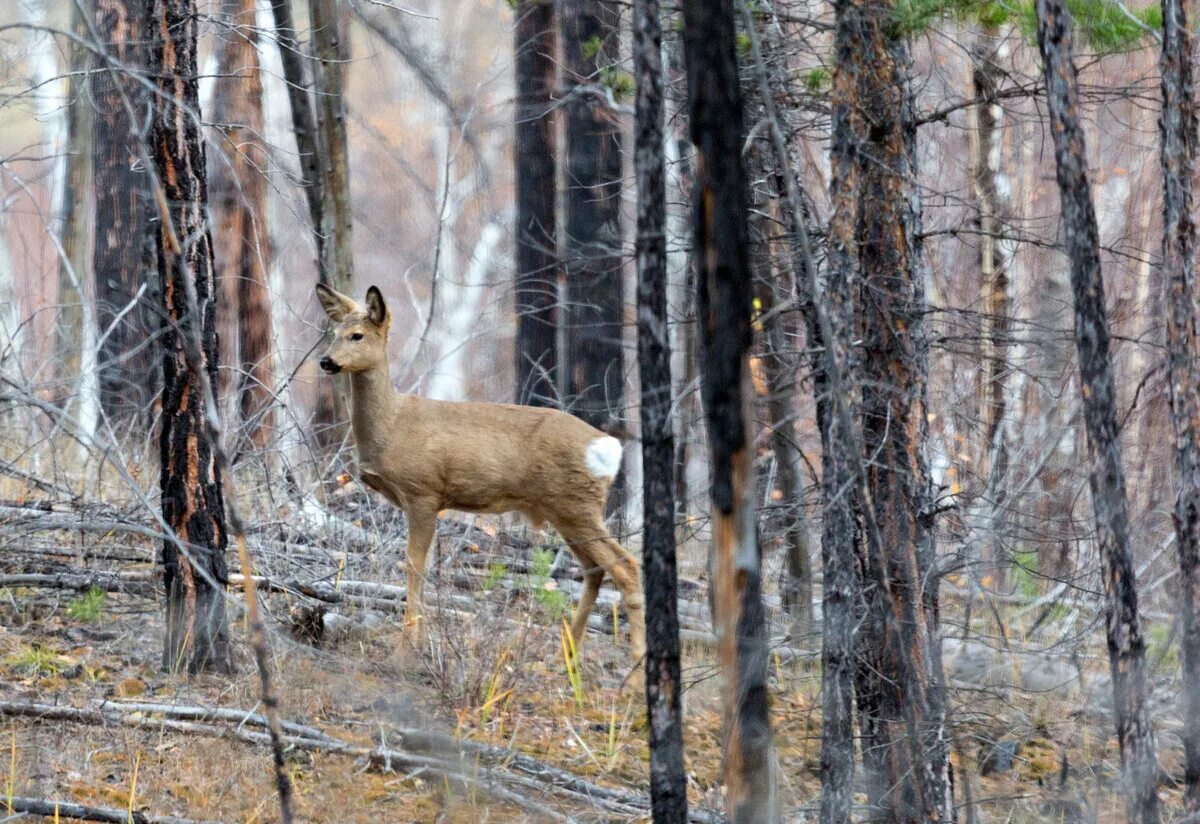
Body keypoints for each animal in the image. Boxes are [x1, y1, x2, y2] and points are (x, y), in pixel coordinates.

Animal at [314, 283, 643, 662]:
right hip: (567, 510)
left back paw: (635, 668)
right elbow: (425, 568)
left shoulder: (423, 491)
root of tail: (608, 447)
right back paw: (565, 656)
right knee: (595, 570)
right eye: (333, 332)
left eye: (357, 334)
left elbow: (413, 565)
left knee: (626, 566)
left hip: (576, 505)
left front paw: (405, 649)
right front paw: (422, 644)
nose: (326, 361)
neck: (392, 426)